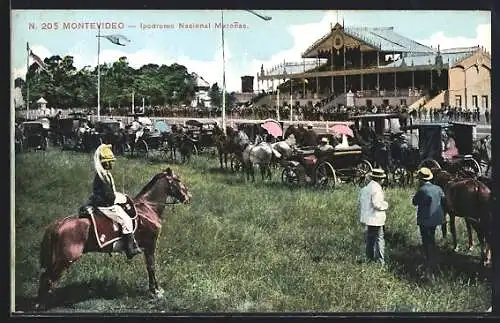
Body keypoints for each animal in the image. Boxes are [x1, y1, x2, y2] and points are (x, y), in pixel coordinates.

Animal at [35, 168, 191, 310]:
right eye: (178, 180)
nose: (188, 197)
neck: (147, 209)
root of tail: (57, 224)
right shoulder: (150, 245)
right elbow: (151, 267)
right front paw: (156, 291)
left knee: (45, 279)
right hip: (64, 260)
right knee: (48, 280)